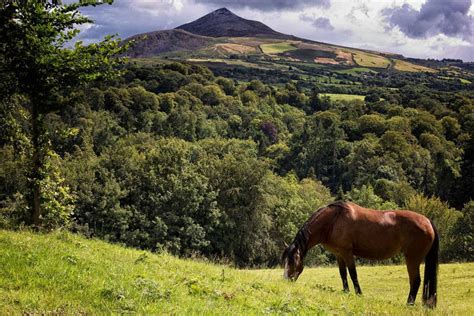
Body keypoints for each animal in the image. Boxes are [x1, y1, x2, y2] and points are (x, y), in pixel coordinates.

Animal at [282, 201, 440, 308]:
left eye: (293, 262)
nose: (286, 281)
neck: (333, 220)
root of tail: (427, 221)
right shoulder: (339, 254)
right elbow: (343, 274)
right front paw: (345, 292)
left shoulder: (347, 252)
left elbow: (353, 274)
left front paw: (358, 294)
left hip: (412, 258)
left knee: (416, 281)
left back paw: (409, 304)